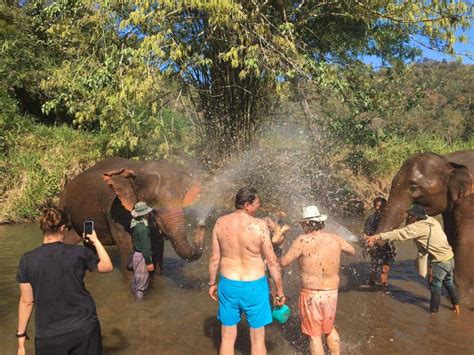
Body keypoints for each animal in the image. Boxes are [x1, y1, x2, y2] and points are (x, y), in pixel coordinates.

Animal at [57, 157, 206, 272]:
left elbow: (157, 247)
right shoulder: (116, 212)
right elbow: (129, 247)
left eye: (182, 198)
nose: (202, 223)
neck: (138, 167)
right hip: (65, 210)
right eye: (152, 202)